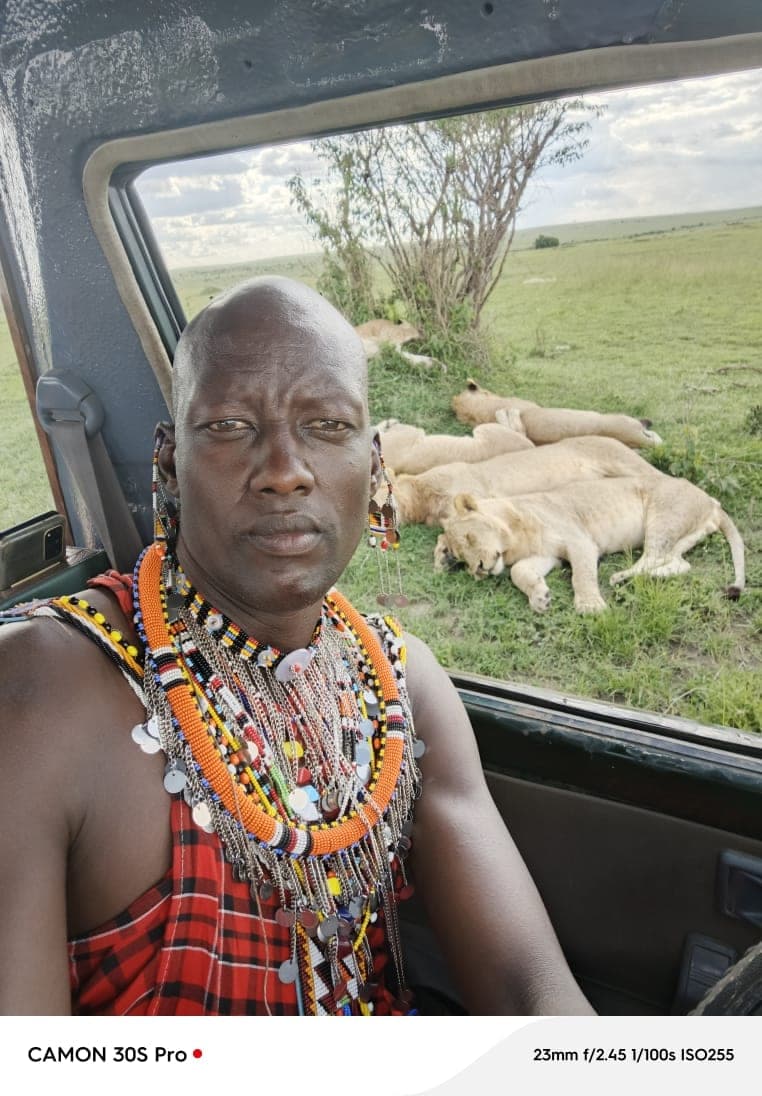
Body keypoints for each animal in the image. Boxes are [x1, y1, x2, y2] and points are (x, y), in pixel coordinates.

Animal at [435, 477, 745, 614]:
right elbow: (518, 572)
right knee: (680, 563)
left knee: (653, 557)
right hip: (680, 537)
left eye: (470, 538)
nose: (479, 571)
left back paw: (621, 578)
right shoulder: (547, 555)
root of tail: (713, 502)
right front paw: (540, 597)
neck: (514, 537)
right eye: (462, 560)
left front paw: (590, 605)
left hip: (663, 516)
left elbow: (581, 576)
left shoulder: (579, 541)